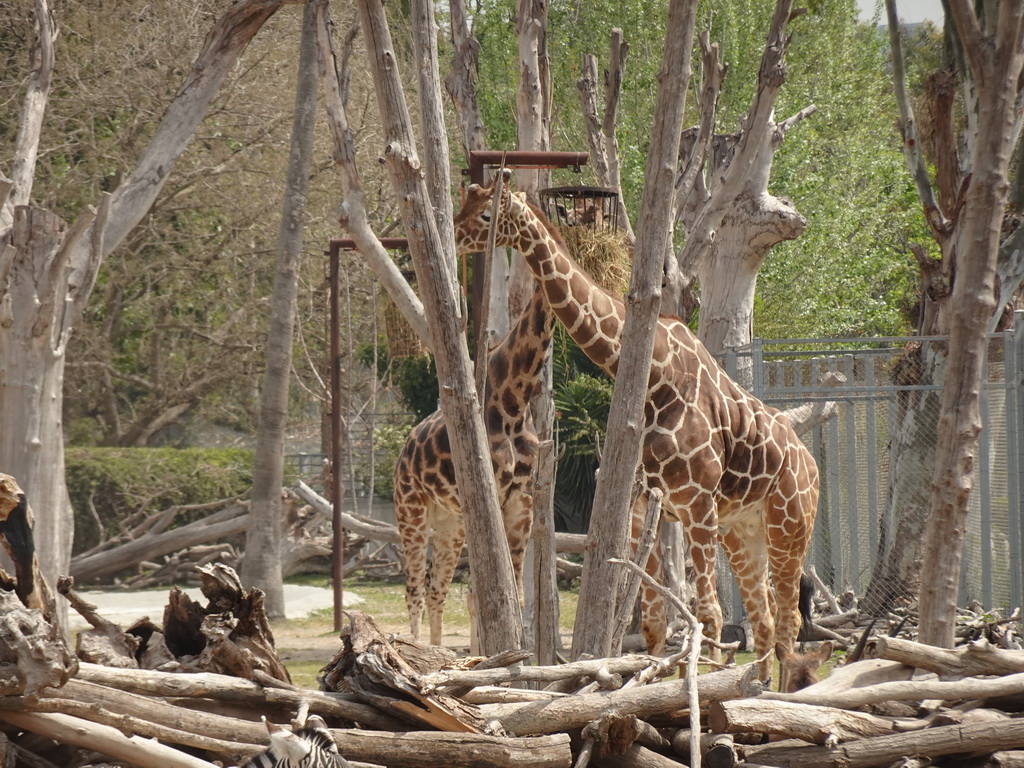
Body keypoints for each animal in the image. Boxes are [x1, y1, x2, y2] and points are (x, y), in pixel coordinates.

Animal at [393, 280, 557, 647]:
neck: (514, 401)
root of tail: (404, 449)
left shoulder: (521, 500)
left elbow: (513, 596)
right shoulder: (489, 495)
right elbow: (482, 593)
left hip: (450, 522)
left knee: (435, 587)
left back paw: (437, 652)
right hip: (411, 511)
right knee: (414, 588)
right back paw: (414, 650)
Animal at [452, 177, 819, 684]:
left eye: (486, 216)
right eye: (463, 204)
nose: (453, 235)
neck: (656, 379)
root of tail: (812, 465)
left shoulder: (697, 502)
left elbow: (707, 614)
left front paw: (699, 695)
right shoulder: (648, 501)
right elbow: (654, 621)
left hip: (790, 525)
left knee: (787, 617)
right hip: (743, 529)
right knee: (763, 615)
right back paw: (757, 688)